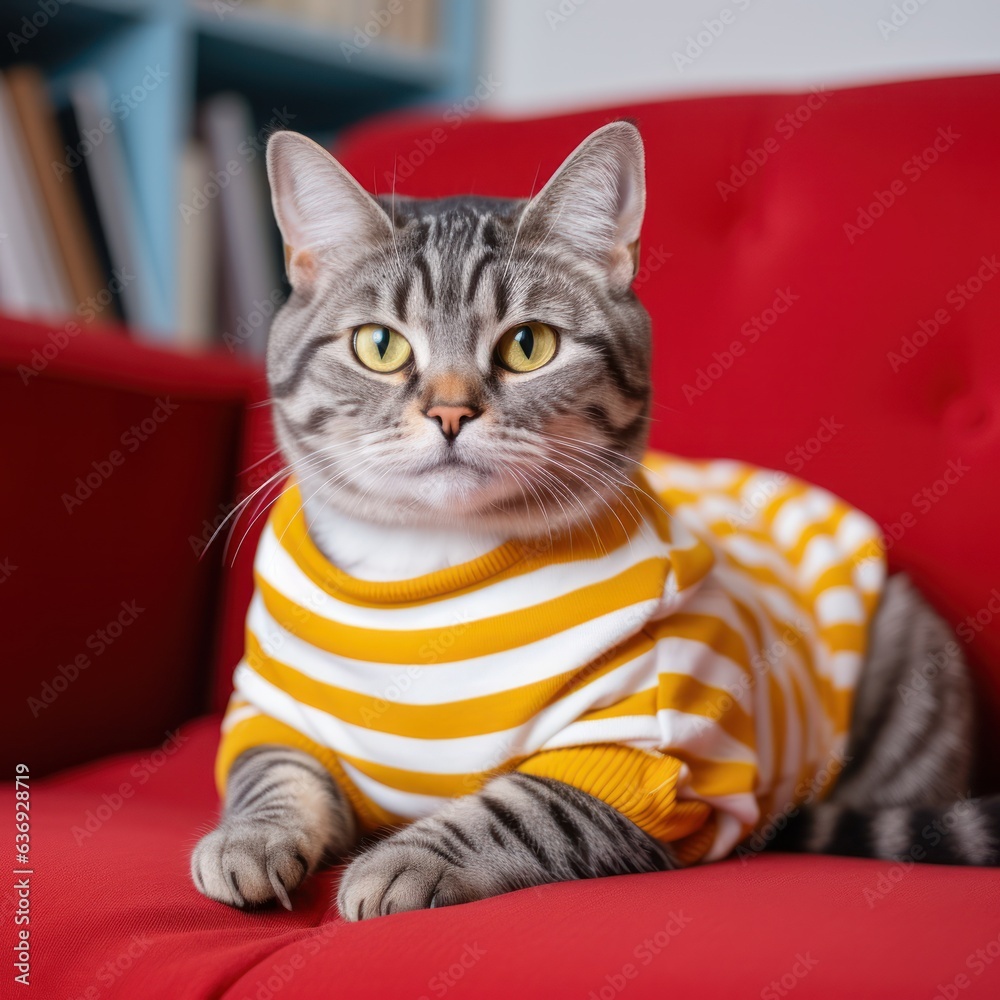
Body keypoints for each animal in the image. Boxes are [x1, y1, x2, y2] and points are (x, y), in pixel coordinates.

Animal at [191, 121, 996, 916]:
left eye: (528, 345)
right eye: (380, 345)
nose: (450, 411)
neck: (436, 568)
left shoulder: (645, 759)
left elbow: (522, 809)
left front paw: (405, 860)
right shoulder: (273, 710)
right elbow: (270, 772)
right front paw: (248, 841)